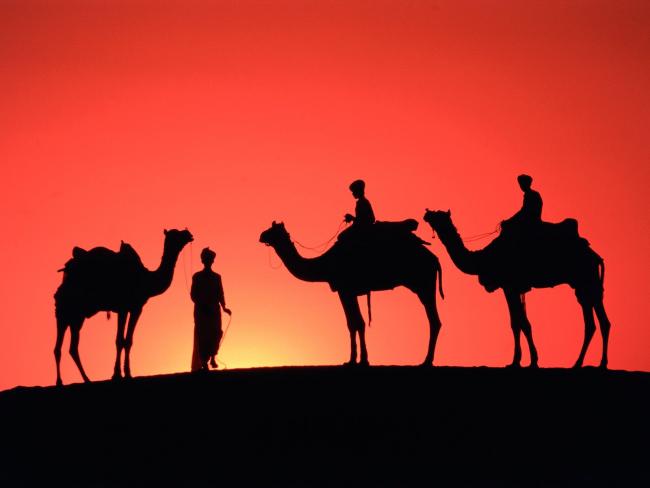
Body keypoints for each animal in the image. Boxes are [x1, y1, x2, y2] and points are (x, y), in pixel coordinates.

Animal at [54, 229, 192, 386]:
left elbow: (128, 340)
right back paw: (74, 380)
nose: (188, 233)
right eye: (176, 234)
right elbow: (120, 340)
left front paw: (127, 373)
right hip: (67, 311)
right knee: (65, 347)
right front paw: (117, 374)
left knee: (66, 347)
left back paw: (73, 380)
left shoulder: (135, 308)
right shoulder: (125, 308)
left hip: (74, 315)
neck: (146, 280)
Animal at [256, 221, 440, 366]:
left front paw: (358, 360)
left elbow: (355, 323)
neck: (325, 264)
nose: (261, 235)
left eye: (273, 231)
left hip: (423, 284)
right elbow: (356, 323)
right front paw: (356, 360)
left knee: (434, 320)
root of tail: (435, 259)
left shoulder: (345, 290)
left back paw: (426, 361)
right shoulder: (349, 292)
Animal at [422, 211, 612, 370]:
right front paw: (528, 360)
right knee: (598, 321)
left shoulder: (510, 286)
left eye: (438, 215)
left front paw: (520, 361)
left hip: (585, 280)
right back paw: (592, 364)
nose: (426, 214)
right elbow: (522, 323)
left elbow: (517, 323)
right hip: (585, 285)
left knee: (595, 321)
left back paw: (586, 363)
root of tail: (595, 256)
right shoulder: (513, 288)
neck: (482, 259)